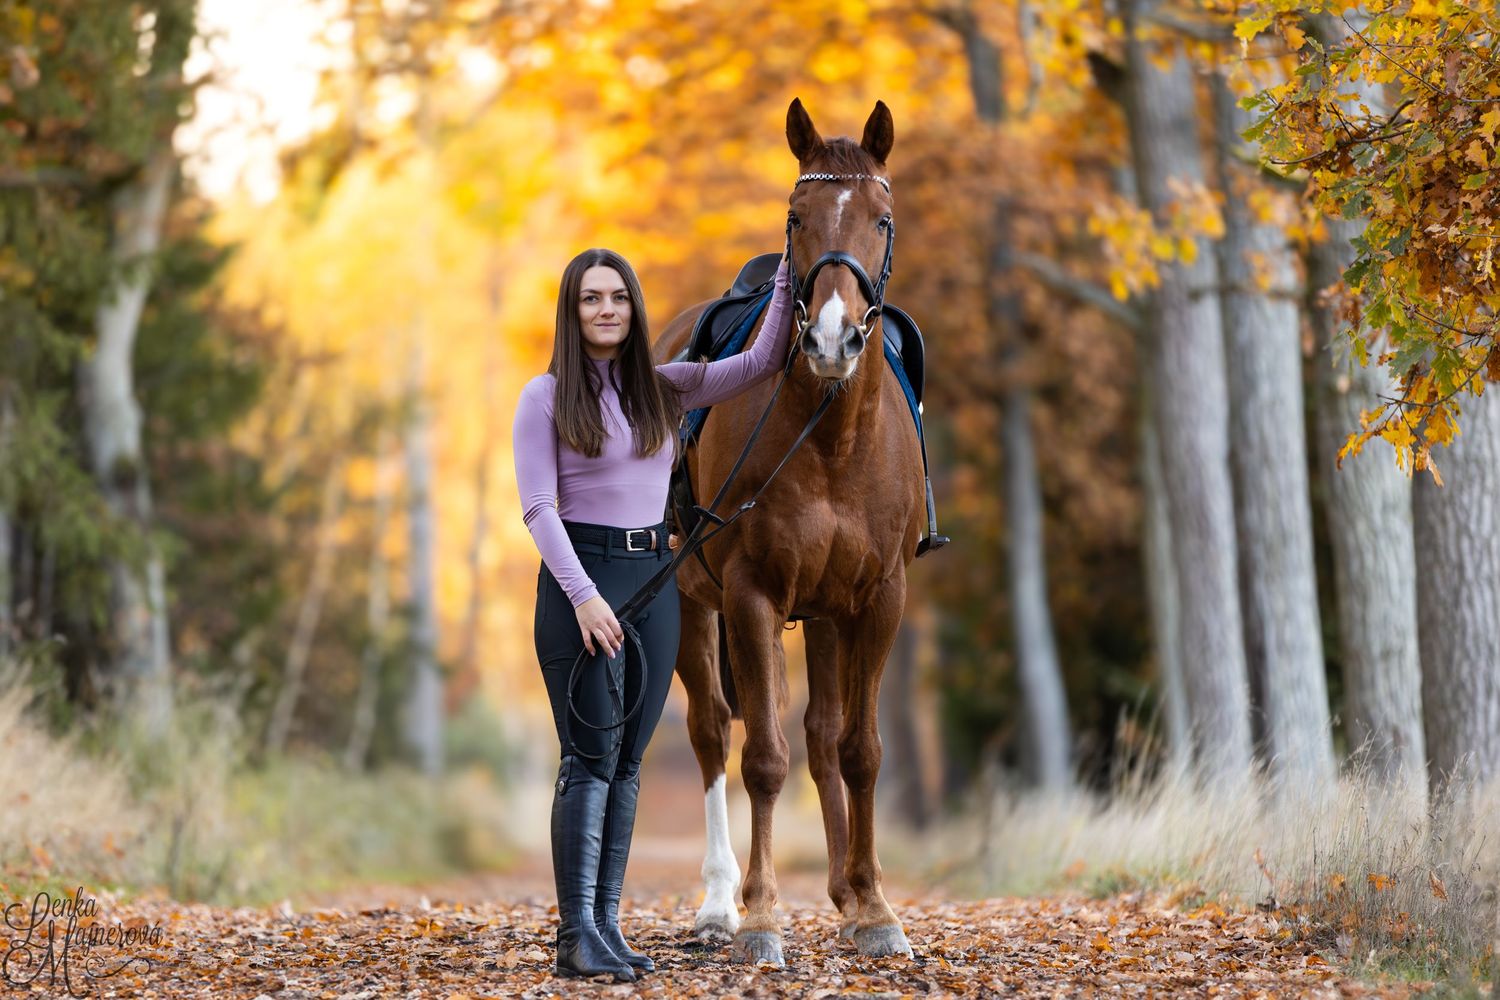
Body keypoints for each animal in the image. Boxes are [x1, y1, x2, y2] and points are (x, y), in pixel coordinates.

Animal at [652, 98, 924, 966]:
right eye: (796, 218)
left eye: (882, 220)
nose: (832, 339)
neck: (830, 435)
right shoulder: (752, 597)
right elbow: (763, 758)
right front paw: (763, 917)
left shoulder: (877, 600)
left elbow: (859, 752)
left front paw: (873, 908)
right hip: (690, 606)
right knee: (711, 733)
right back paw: (717, 905)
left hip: (829, 616)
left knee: (824, 737)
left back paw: (846, 895)